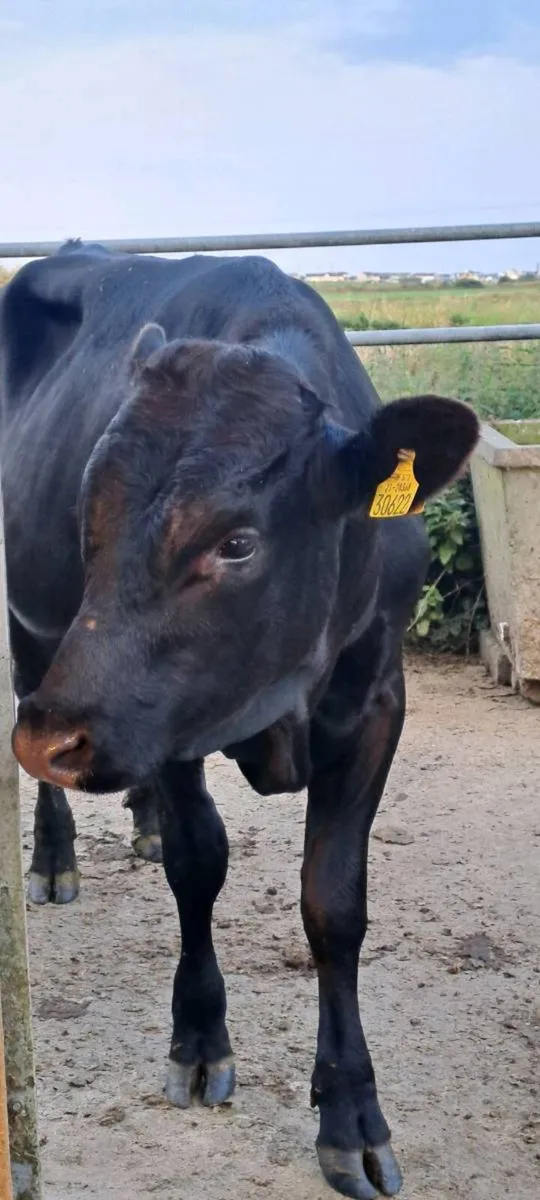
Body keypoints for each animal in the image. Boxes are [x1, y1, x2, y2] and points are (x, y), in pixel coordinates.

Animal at [0, 241, 478, 1199]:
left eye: (238, 542)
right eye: (87, 513)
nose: (51, 738)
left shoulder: (378, 699)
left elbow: (334, 902)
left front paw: (351, 1114)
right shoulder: (169, 719)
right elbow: (201, 864)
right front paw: (197, 1040)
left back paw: (137, 818)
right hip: (33, 632)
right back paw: (55, 858)